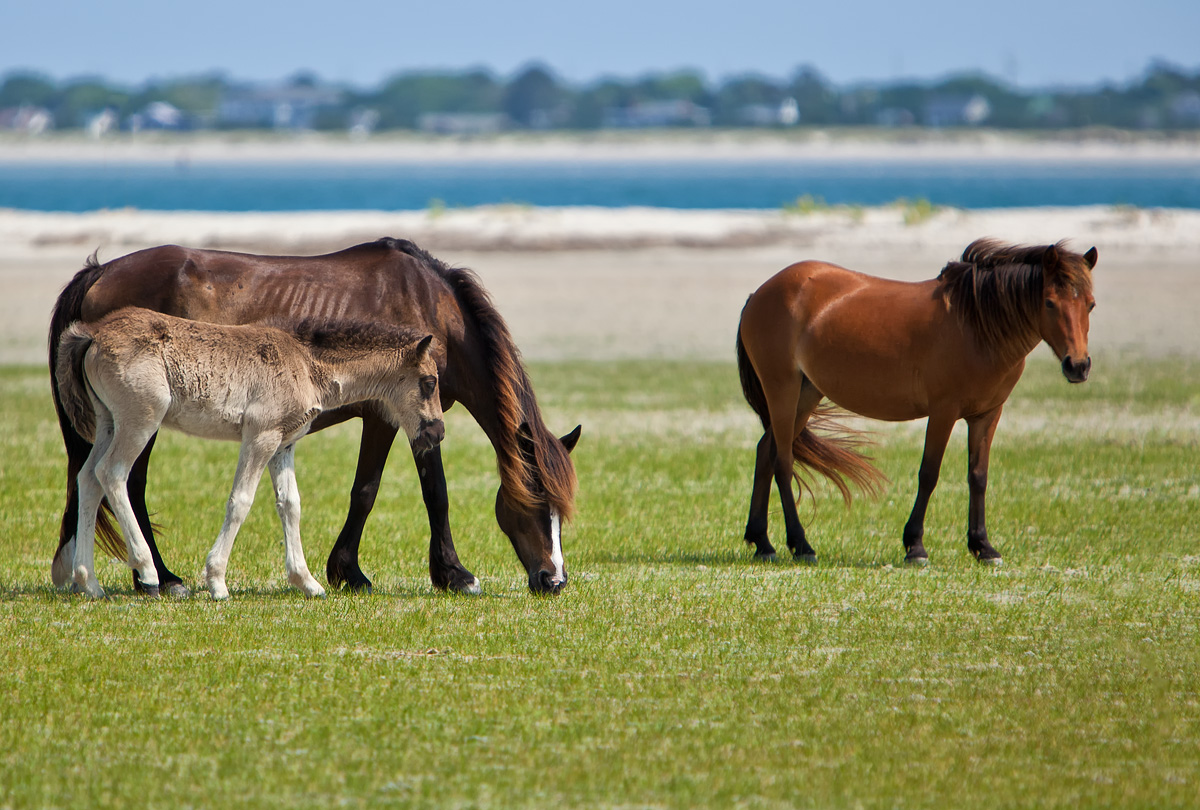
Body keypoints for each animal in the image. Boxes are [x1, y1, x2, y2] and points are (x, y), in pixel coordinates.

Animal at [55, 307, 445, 600]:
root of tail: (93, 334)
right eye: (429, 382)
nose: (437, 432)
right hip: (142, 419)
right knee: (112, 473)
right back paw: (147, 571)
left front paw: (307, 582)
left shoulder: (284, 443)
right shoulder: (260, 435)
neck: (305, 362)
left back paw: (88, 581)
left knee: (88, 478)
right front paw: (217, 581)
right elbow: (240, 501)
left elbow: (290, 505)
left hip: (109, 421)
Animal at [736, 238, 1097, 565]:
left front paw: (983, 547)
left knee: (765, 453)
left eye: (1091, 304)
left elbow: (978, 476)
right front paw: (915, 547)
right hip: (782, 390)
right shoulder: (943, 412)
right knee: (782, 460)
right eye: (1049, 302)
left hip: (806, 394)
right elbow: (929, 473)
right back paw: (801, 545)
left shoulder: (987, 415)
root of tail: (760, 293)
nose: (1078, 365)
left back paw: (762, 543)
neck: (975, 325)